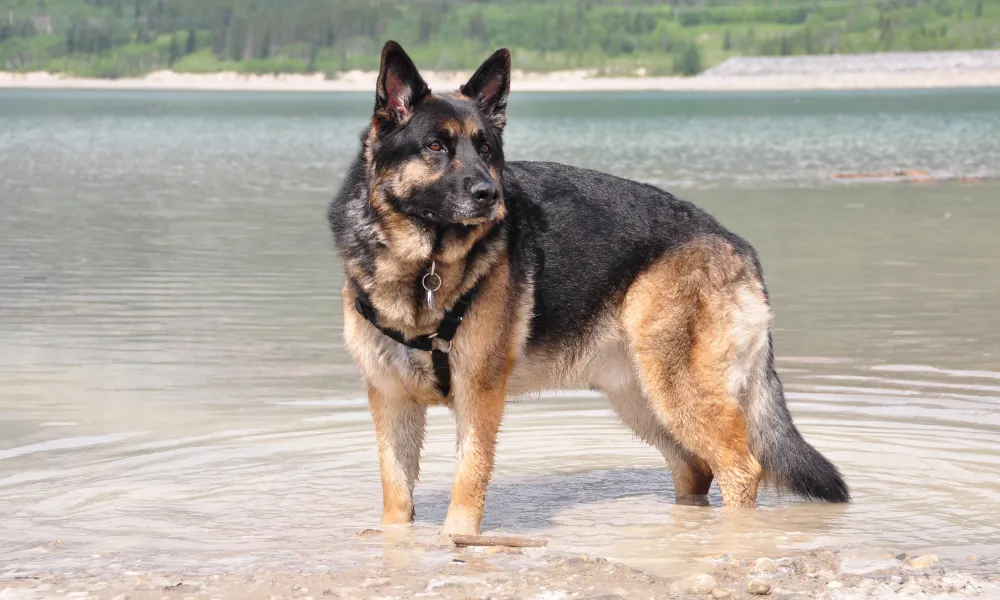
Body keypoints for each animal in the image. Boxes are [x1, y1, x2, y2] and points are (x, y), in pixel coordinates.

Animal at [332, 42, 848, 540]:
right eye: (436, 146)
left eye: (486, 150)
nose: (490, 195)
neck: (425, 268)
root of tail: (735, 243)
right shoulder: (391, 401)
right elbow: (396, 494)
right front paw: (396, 543)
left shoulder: (478, 397)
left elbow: (469, 479)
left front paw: (454, 542)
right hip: (642, 399)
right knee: (695, 469)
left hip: (680, 393)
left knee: (741, 468)